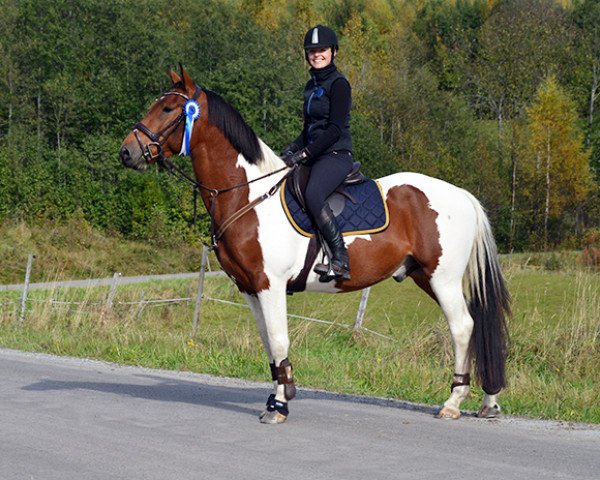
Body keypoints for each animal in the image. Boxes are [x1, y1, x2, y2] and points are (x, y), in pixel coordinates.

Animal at [119, 64, 508, 424]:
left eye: (169, 109)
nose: (127, 152)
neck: (248, 195)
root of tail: (462, 195)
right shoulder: (248, 287)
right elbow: (268, 342)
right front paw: (282, 390)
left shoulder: (270, 284)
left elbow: (279, 339)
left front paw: (278, 406)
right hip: (424, 277)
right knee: (474, 325)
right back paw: (488, 402)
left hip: (443, 279)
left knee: (463, 327)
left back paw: (454, 402)